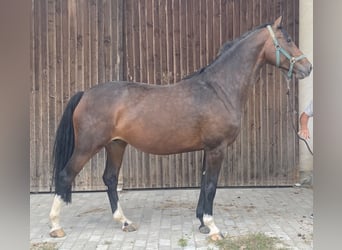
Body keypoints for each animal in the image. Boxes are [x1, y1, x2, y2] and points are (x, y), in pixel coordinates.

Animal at [48, 16, 312, 239]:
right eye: (288, 40)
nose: (307, 67)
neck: (219, 89)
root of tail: (85, 93)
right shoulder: (217, 149)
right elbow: (211, 185)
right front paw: (213, 228)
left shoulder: (208, 150)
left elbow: (204, 184)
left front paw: (202, 223)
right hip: (87, 147)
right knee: (65, 175)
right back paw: (56, 226)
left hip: (116, 145)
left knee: (110, 179)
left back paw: (124, 222)